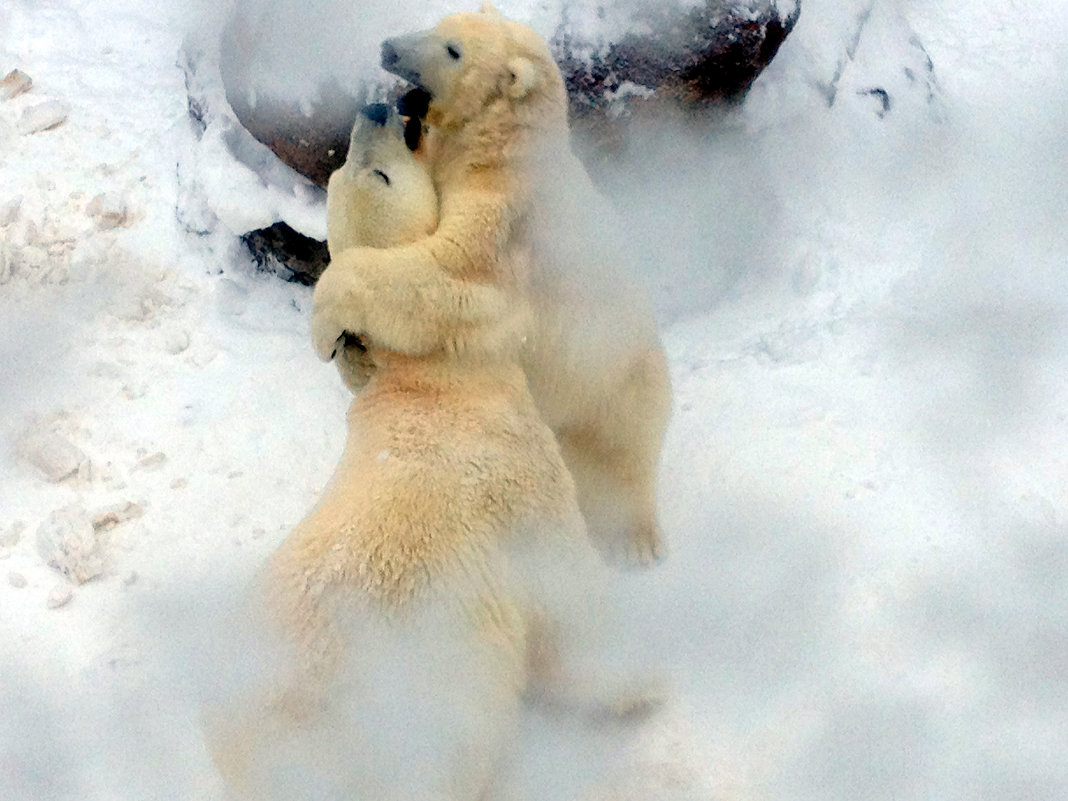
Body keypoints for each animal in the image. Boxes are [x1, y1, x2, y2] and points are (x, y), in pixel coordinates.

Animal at [206, 105, 657, 801]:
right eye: (381, 174)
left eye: (343, 170)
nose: (377, 108)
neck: (432, 385)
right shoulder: (513, 483)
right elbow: (563, 594)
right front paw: (637, 686)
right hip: (402, 726)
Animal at [311, 4, 670, 572]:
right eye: (438, 26)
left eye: (453, 51)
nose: (389, 48)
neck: (501, 147)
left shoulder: (507, 215)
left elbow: (447, 277)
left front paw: (326, 322)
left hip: (617, 384)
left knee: (624, 459)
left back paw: (637, 540)